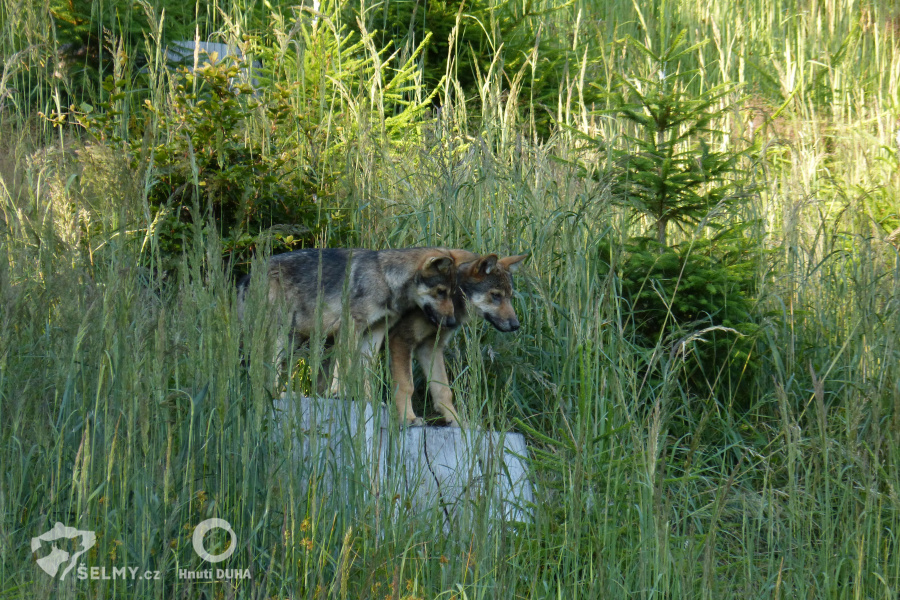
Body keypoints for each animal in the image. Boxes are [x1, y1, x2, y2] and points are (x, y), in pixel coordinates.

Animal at [388, 252, 528, 426]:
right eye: (496, 295)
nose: (516, 325)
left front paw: (456, 420)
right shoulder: (401, 340)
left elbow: (443, 390)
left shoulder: (430, 347)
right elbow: (406, 386)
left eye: (510, 297)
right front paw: (408, 418)